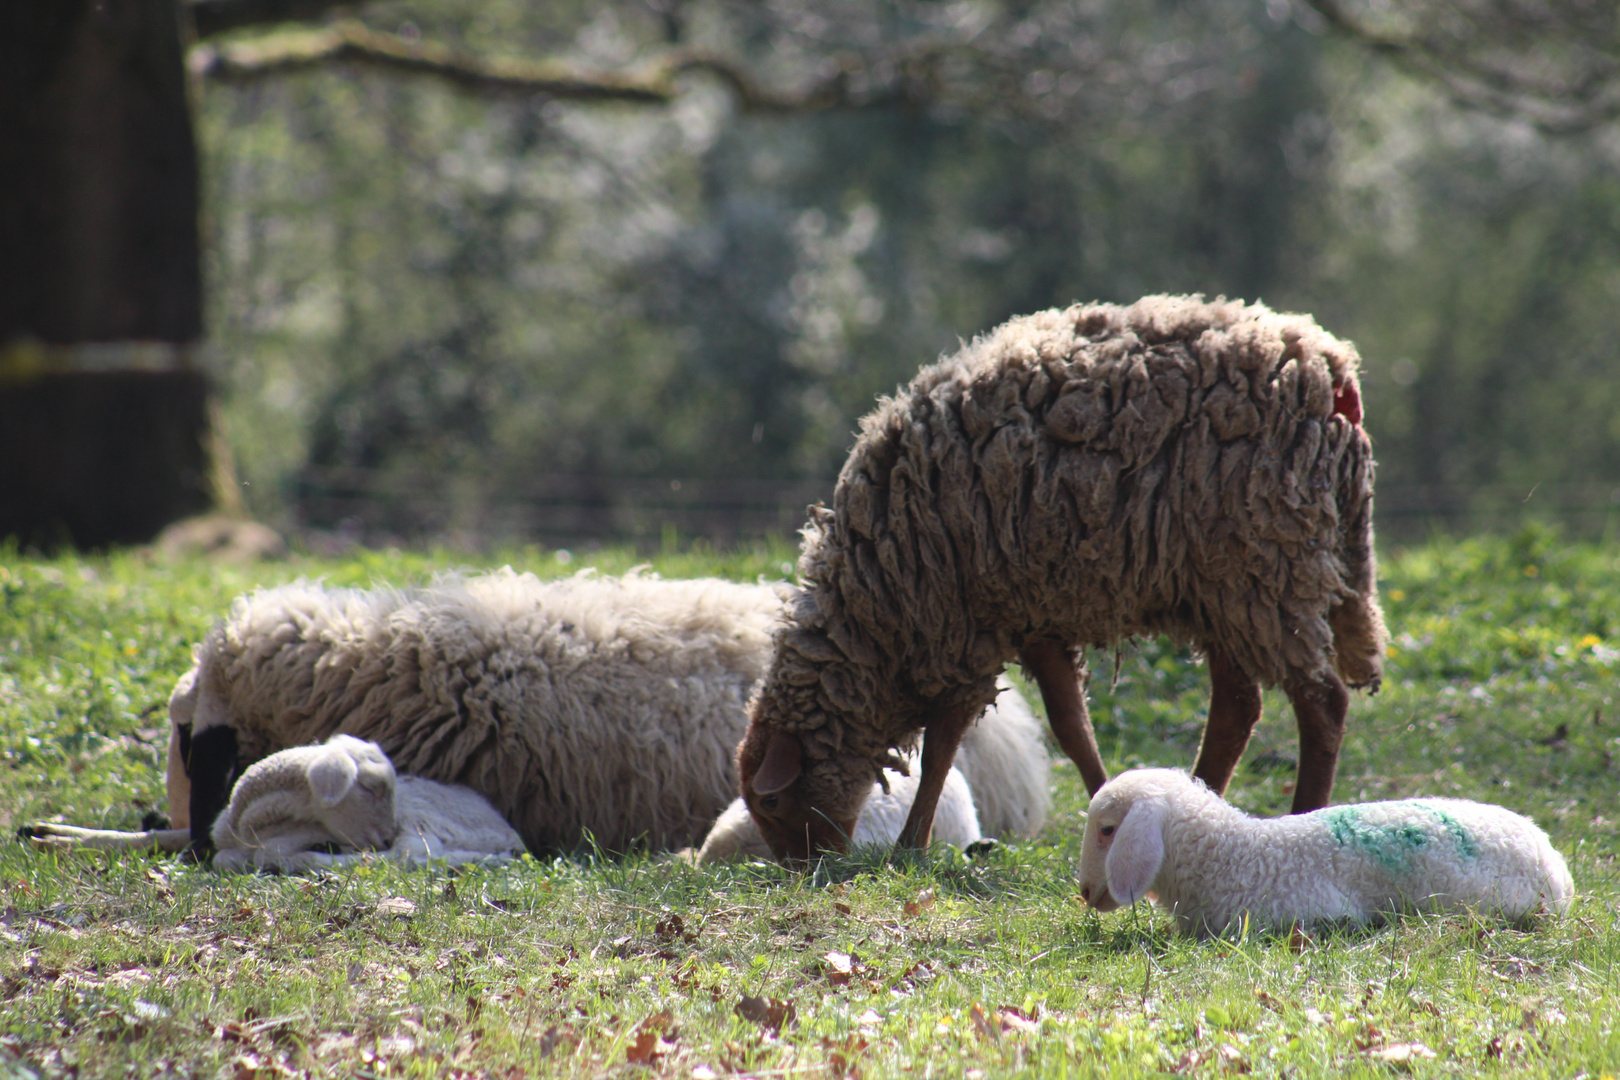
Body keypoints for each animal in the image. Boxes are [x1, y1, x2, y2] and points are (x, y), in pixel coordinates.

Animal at [31, 731, 521, 874]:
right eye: (369, 788)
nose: (381, 835)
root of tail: (510, 833)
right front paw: (56, 837)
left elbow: (231, 858)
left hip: (426, 824)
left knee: (408, 858)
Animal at [735, 293, 1380, 861]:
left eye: (770, 803)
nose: (803, 868)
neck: (874, 607)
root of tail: (1333, 372)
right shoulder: (1033, 615)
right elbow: (1071, 726)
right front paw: (1103, 802)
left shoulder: (964, 625)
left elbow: (943, 745)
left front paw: (910, 844)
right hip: (1221, 582)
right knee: (1238, 707)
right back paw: (1199, 802)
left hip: (1268, 563)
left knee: (1322, 702)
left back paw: (1303, 813)